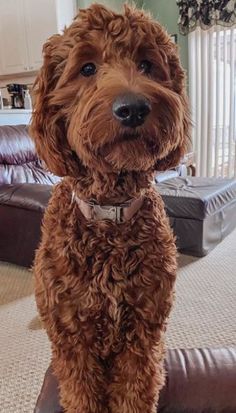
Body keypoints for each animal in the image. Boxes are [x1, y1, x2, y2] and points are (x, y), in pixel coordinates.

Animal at [30, 4, 190, 412]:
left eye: (147, 64)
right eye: (87, 68)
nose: (132, 108)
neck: (109, 215)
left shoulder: (143, 335)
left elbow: (135, 391)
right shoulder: (73, 338)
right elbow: (82, 394)